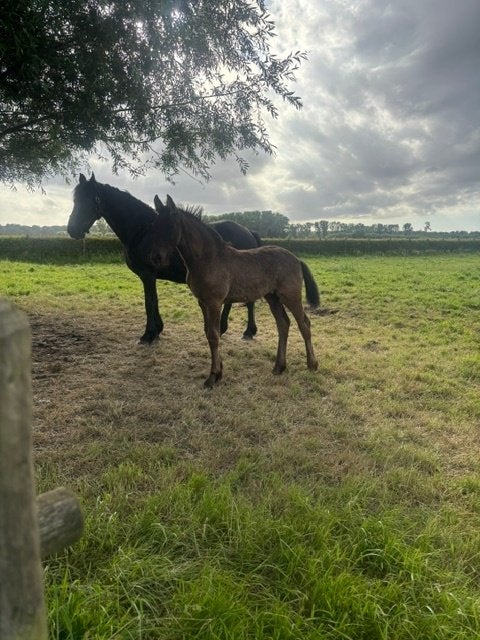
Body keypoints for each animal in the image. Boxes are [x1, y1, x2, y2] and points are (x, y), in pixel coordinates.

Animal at [67, 173, 261, 343]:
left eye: (92, 199)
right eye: (75, 200)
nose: (72, 230)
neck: (142, 232)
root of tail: (248, 232)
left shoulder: (147, 275)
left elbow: (149, 302)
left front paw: (148, 335)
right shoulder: (149, 277)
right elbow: (154, 301)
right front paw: (158, 330)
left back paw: (247, 331)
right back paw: (224, 328)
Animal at [149, 195, 320, 388]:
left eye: (171, 225)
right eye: (154, 225)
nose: (156, 257)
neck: (208, 259)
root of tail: (296, 259)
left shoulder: (214, 302)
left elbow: (214, 335)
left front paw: (213, 377)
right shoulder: (202, 302)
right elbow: (208, 332)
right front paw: (219, 371)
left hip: (290, 296)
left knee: (304, 324)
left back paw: (312, 364)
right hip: (272, 297)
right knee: (283, 324)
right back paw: (279, 366)